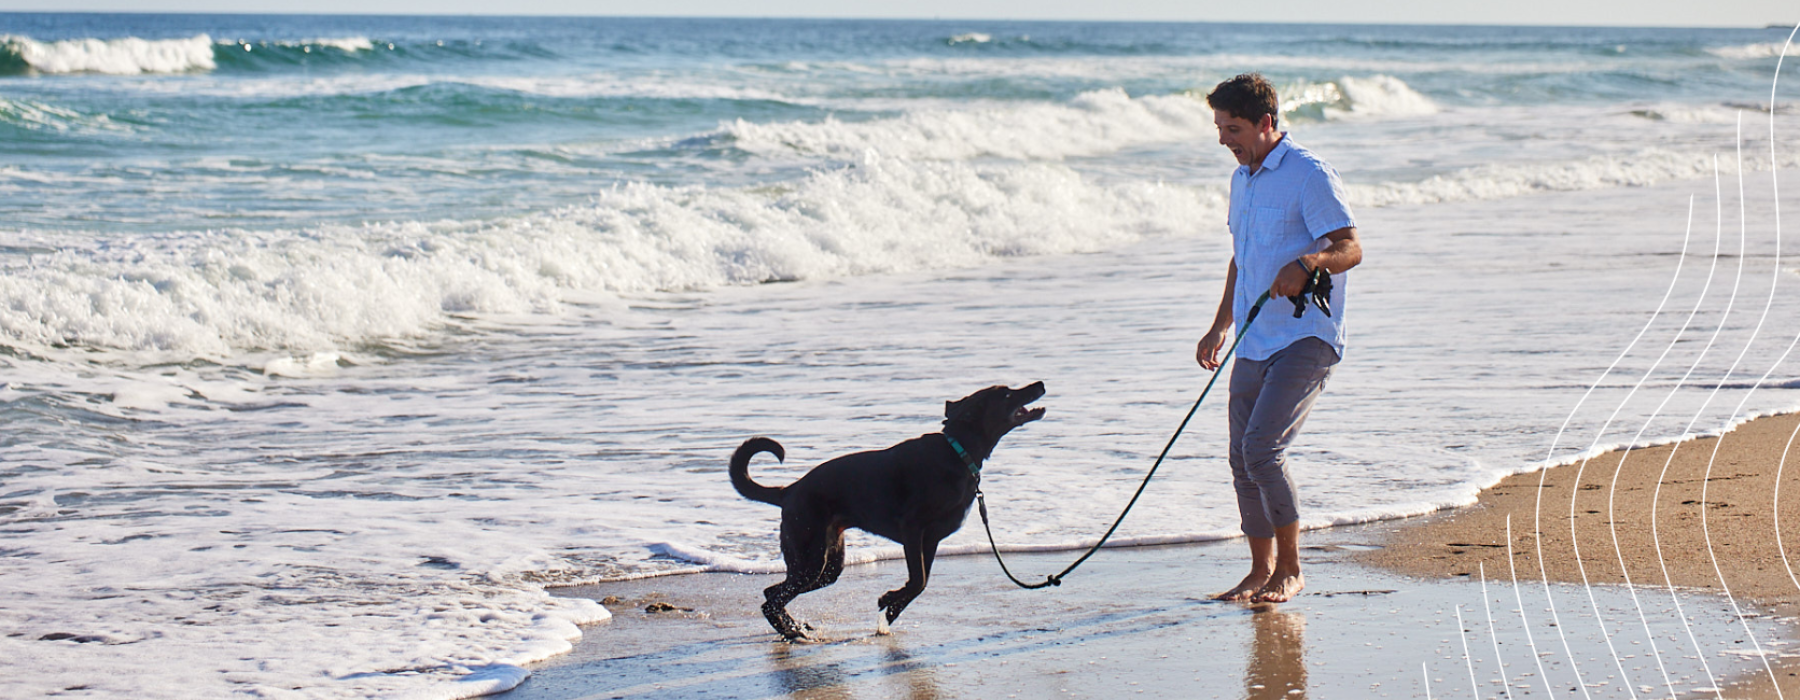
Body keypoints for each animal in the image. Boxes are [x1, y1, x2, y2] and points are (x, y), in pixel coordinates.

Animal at [727, 381, 1051, 637]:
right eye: (1007, 394)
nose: (1040, 384)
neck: (958, 452)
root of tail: (789, 491)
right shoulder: (912, 529)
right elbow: (918, 579)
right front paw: (889, 601)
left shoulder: (930, 539)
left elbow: (920, 582)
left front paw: (892, 607)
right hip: (811, 558)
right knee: (771, 598)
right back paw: (793, 631)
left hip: (828, 565)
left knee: (775, 593)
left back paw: (793, 628)